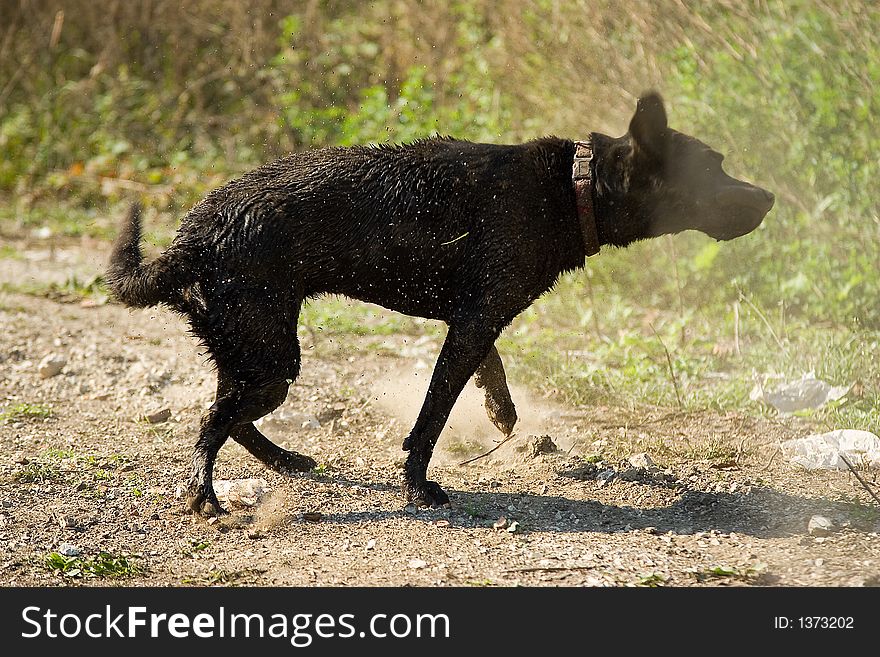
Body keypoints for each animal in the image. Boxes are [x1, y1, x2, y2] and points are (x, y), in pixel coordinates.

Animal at [106, 92, 772, 516]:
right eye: (714, 166)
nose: (767, 198)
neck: (573, 188)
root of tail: (187, 242)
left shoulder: (476, 320)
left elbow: (488, 372)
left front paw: (500, 413)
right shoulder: (474, 321)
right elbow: (430, 418)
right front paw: (419, 487)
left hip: (254, 351)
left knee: (230, 415)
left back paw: (286, 461)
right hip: (270, 358)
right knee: (213, 422)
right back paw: (205, 496)